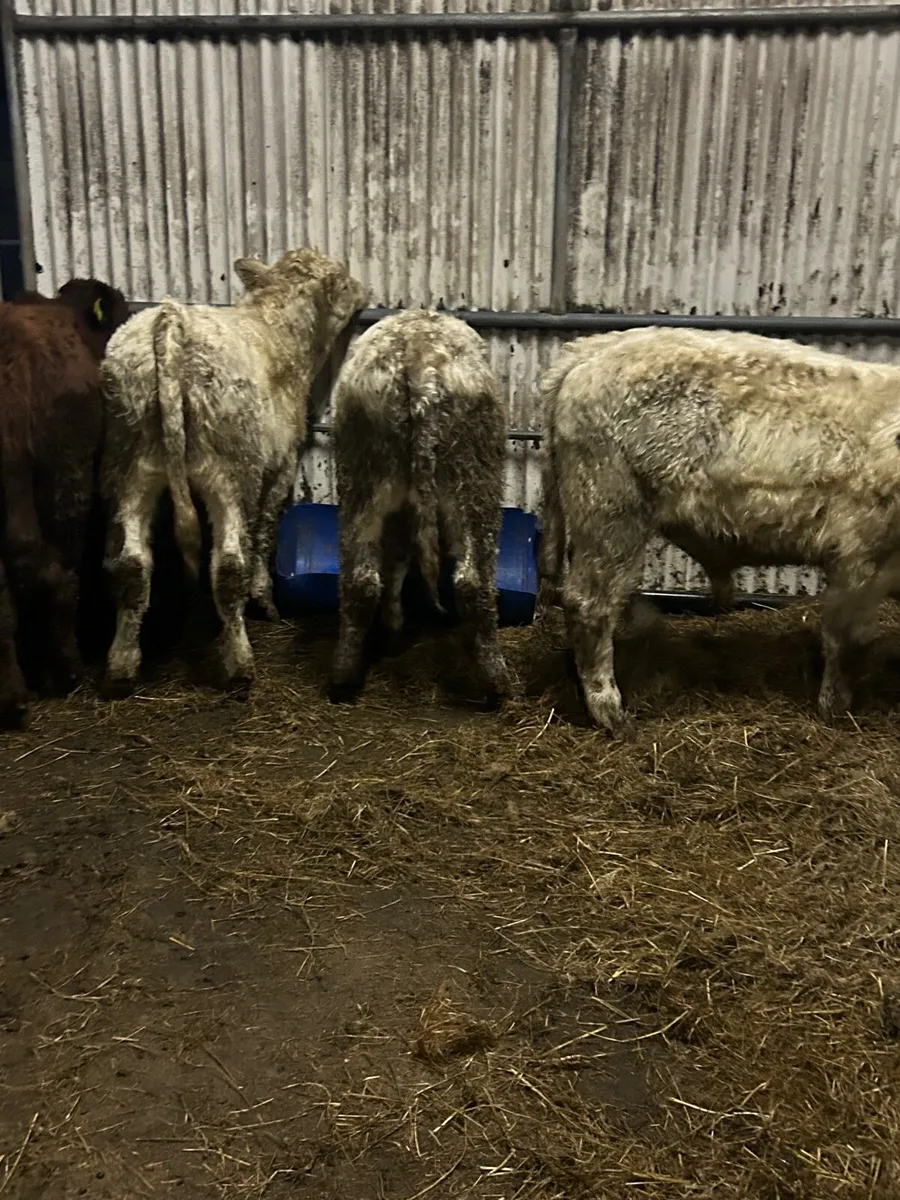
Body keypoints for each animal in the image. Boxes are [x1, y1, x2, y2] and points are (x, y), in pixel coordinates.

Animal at [99, 247, 367, 697]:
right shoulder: (280, 467)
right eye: (345, 281)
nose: (364, 290)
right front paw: (264, 601)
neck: (278, 332)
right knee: (227, 566)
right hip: (228, 476)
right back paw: (240, 663)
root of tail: (171, 320)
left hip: (129, 470)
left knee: (132, 566)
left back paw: (121, 665)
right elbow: (264, 532)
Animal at [327, 309, 511, 707]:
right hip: (472, 476)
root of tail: (417, 360)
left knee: (359, 578)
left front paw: (394, 626)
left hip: (362, 475)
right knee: (472, 580)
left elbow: (396, 560)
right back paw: (497, 682)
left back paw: (343, 675)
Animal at [538, 326, 900, 731]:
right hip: (612, 516)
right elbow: (846, 641)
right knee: (589, 605)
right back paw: (610, 711)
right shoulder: (861, 556)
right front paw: (836, 710)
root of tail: (593, 348)